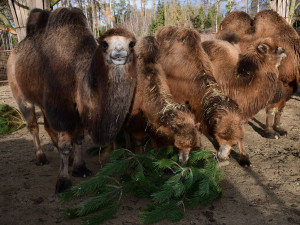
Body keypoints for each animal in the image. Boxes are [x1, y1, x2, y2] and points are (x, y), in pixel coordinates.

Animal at [7, 7, 137, 193]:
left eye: (132, 43)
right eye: (104, 44)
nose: (119, 53)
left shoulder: (77, 106)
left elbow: (79, 137)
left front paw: (80, 168)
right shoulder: (61, 107)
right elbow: (65, 144)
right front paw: (63, 181)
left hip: (44, 102)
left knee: (48, 126)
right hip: (20, 94)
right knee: (33, 126)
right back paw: (40, 157)